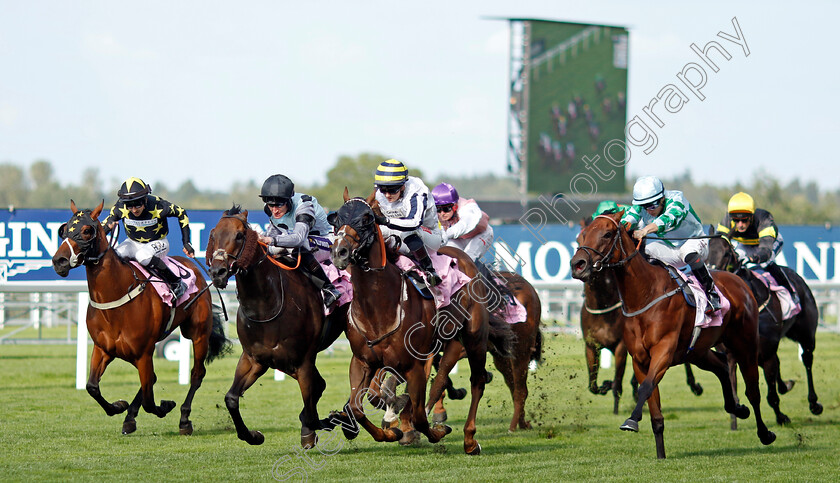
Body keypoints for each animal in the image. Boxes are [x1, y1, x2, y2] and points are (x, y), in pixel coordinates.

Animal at [52, 199, 230, 434]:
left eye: (87, 230)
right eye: (64, 230)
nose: (59, 261)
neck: (115, 300)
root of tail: (195, 267)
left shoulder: (143, 353)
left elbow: (149, 400)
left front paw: (165, 406)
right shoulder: (104, 349)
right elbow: (92, 387)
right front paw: (120, 406)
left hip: (198, 333)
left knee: (197, 374)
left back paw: (184, 419)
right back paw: (130, 417)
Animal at [206, 205, 348, 450]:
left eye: (240, 235)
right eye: (213, 235)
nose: (218, 273)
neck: (266, 305)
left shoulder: (303, 362)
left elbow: (311, 412)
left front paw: (327, 422)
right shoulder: (255, 359)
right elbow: (231, 399)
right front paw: (253, 435)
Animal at [326, 191, 512, 456]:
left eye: (366, 219)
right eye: (336, 218)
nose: (339, 252)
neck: (378, 306)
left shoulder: (413, 364)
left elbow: (420, 417)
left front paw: (432, 430)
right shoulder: (362, 361)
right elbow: (357, 407)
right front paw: (389, 431)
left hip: (475, 337)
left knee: (475, 381)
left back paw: (469, 439)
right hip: (448, 342)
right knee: (441, 380)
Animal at [572, 214, 776, 460]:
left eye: (607, 234)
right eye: (582, 235)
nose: (577, 265)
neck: (645, 294)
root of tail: (739, 282)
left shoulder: (663, 351)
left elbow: (645, 387)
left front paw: (631, 420)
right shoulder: (639, 359)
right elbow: (654, 410)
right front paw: (660, 454)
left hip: (745, 345)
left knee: (753, 391)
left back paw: (765, 433)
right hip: (698, 351)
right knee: (722, 367)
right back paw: (737, 408)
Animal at [704, 228, 824, 424]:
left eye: (727, 253)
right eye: (706, 251)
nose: (711, 277)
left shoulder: (765, 352)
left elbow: (771, 394)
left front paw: (781, 417)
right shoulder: (732, 353)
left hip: (806, 333)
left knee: (807, 359)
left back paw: (814, 403)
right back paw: (786, 385)